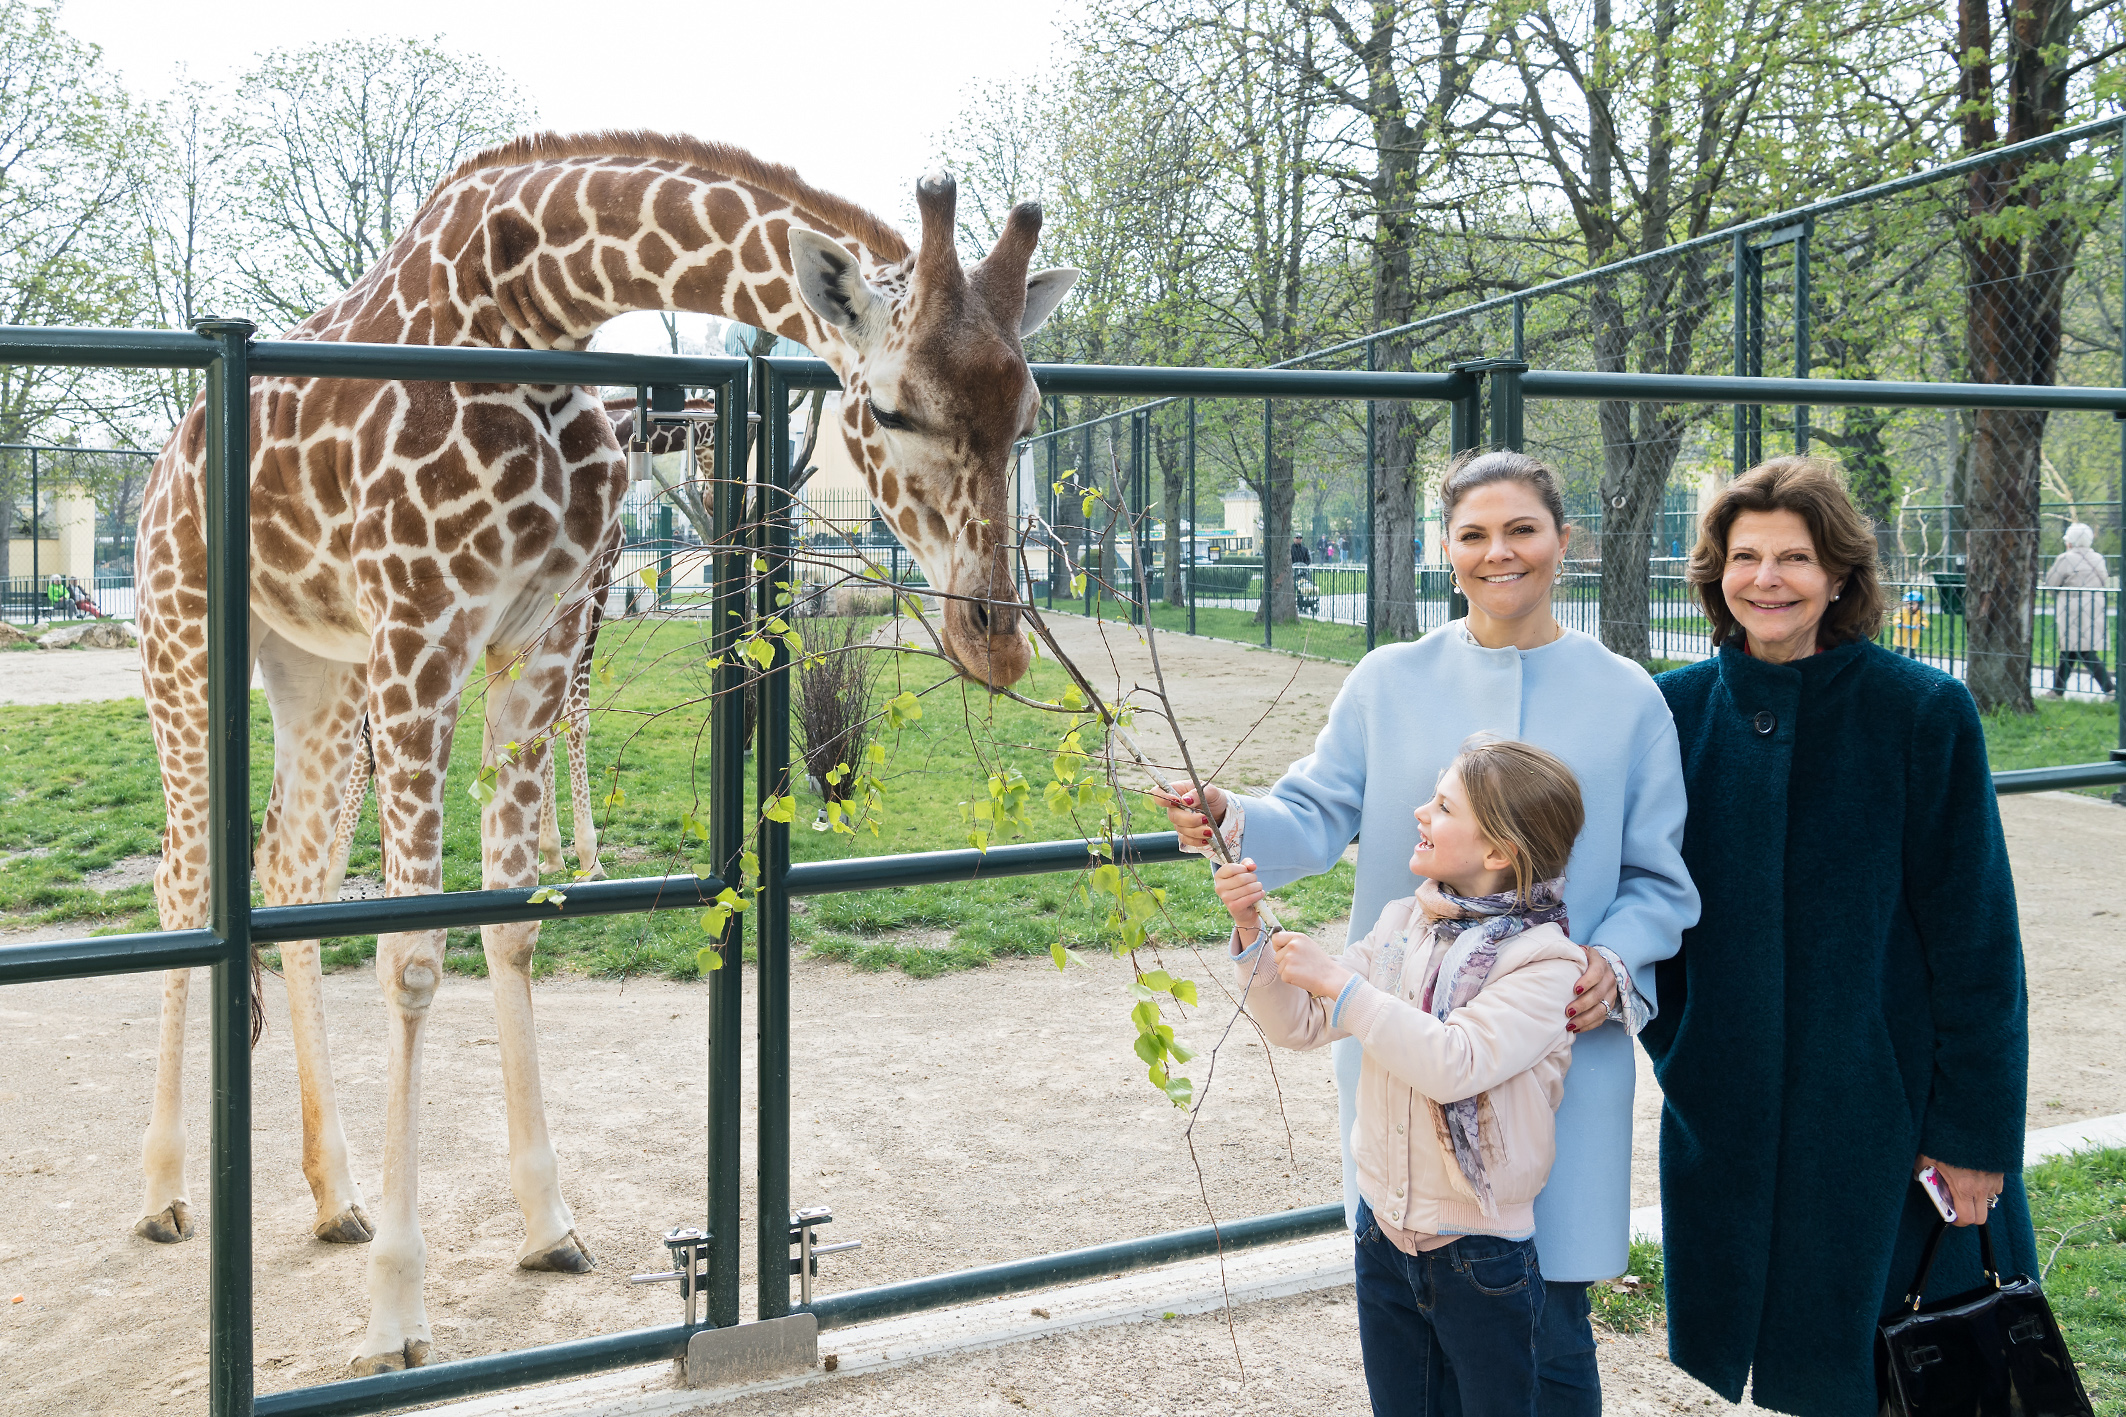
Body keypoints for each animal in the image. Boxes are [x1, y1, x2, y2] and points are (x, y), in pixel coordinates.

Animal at [128, 132, 1080, 1376]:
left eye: (1027, 411)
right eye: (890, 407)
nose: (995, 639)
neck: (529, 308)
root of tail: (165, 459)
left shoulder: (532, 636)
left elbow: (513, 922)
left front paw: (547, 1225)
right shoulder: (423, 627)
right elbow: (411, 956)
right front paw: (394, 1320)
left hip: (313, 666)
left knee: (288, 875)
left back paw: (335, 1197)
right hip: (184, 631)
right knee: (184, 881)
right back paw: (163, 1195)